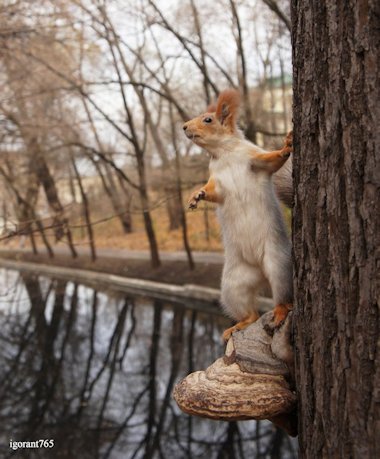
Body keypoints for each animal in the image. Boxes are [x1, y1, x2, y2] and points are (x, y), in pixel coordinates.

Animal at [183, 90, 292, 342]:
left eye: (208, 119)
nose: (184, 127)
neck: (223, 154)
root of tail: (261, 273)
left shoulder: (255, 158)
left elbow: (273, 160)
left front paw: (286, 147)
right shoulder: (215, 180)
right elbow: (211, 192)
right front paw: (196, 196)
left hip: (278, 264)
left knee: (283, 297)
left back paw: (280, 312)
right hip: (233, 285)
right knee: (251, 313)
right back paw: (237, 325)